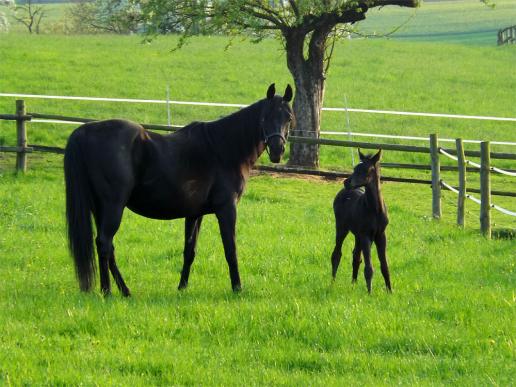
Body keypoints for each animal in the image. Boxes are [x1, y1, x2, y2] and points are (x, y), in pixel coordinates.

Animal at [63, 84, 294, 298]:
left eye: (288, 118)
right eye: (264, 118)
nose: (277, 150)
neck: (221, 149)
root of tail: (84, 131)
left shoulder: (195, 213)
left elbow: (189, 250)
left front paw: (182, 288)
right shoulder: (226, 209)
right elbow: (230, 249)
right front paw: (237, 288)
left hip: (99, 208)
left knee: (107, 246)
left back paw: (120, 290)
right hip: (113, 206)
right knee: (104, 243)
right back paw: (109, 291)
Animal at [330, 149, 392, 294]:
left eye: (366, 169)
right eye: (355, 168)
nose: (346, 182)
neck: (375, 210)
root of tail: (341, 193)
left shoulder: (380, 235)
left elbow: (385, 265)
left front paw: (390, 291)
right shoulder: (365, 235)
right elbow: (369, 267)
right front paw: (369, 293)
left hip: (357, 235)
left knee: (356, 256)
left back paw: (353, 284)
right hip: (342, 228)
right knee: (336, 254)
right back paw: (332, 283)